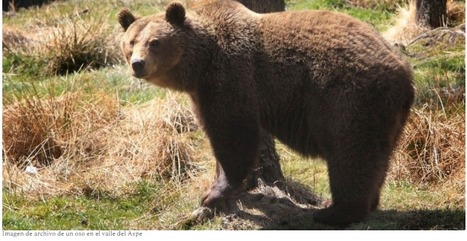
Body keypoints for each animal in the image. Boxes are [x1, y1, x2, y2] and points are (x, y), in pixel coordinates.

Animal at [119, 0, 414, 226]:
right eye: (131, 41)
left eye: (155, 42)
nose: (138, 64)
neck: (201, 65)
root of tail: (402, 68)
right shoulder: (204, 90)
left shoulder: (231, 78)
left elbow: (234, 137)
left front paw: (213, 194)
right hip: (388, 112)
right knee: (379, 154)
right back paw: (366, 202)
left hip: (347, 94)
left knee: (350, 151)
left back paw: (336, 211)